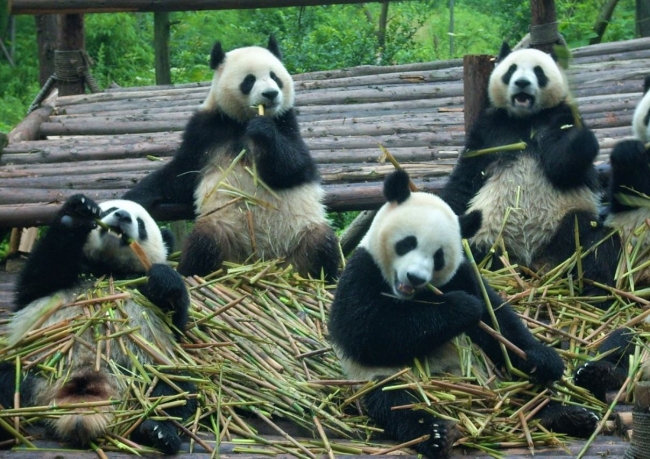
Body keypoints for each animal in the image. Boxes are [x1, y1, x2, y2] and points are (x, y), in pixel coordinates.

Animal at [0, 194, 195, 454]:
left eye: (140, 223)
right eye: (110, 209)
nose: (122, 216)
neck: (107, 269)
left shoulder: (141, 291)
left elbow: (175, 323)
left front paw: (163, 279)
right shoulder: (59, 280)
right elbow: (39, 278)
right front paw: (78, 213)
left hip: (143, 371)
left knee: (175, 388)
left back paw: (158, 432)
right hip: (32, 366)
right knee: (6, 379)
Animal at [123, 36, 340, 281]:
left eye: (275, 76)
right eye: (249, 80)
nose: (271, 94)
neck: (241, 121)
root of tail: (260, 261)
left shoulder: (287, 122)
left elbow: (297, 168)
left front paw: (263, 131)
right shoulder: (206, 130)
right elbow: (180, 173)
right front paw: (134, 197)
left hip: (302, 232)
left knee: (322, 242)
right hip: (223, 230)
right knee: (204, 242)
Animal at [328, 170, 599, 459]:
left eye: (438, 256)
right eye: (408, 243)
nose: (415, 277)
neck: (413, 295)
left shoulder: (463, 274)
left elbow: (498, 320)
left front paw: (544, 358)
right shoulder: (361, 273)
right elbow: (368, 333)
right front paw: (463, 307)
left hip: (493, 370)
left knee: (522, 384)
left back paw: (566, 415)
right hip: (382, 378)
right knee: (397, 401)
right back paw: (437, 435)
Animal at [439, 42, 619, 294]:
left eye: (538, 72)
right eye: (511, 69)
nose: (522, 83)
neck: (525, 119)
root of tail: (530, 262)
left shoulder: (556, 118)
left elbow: (564, 166)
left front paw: (581, 140)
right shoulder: (488, 131)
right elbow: (466, 178)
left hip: (563, 226)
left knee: (593, 238)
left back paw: (597, 291)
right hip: (489, 236)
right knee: (473, 248)